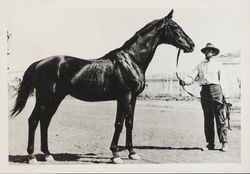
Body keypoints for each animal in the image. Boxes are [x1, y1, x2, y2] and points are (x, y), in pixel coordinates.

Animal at [10, 9, 194, 164]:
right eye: (175, 27)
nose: (191, 45)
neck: (132, 60)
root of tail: (38, 63)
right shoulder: (124, 96)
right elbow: (119, 123)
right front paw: (115, 155)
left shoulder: (133, 98)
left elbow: (129, 123)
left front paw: (132, 153)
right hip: (44, 97)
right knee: (33, 120)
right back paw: (32, 156)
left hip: (56, 98)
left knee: (45, 121)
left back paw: (48, 155)